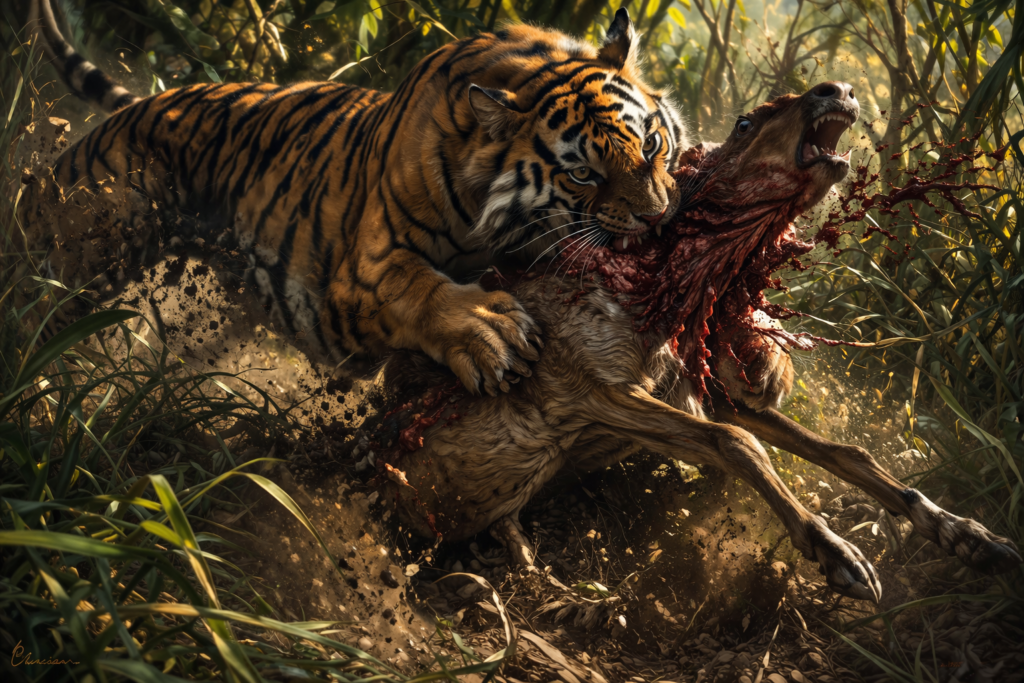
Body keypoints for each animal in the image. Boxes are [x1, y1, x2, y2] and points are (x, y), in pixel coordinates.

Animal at [18, 0, 688, 394]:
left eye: (652, 143)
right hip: (81, 246)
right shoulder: (359, 271)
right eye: (584, 176)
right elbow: (418, 289)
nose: (657, 218)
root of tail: (145, 103)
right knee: (37, 306)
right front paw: (489, 333)